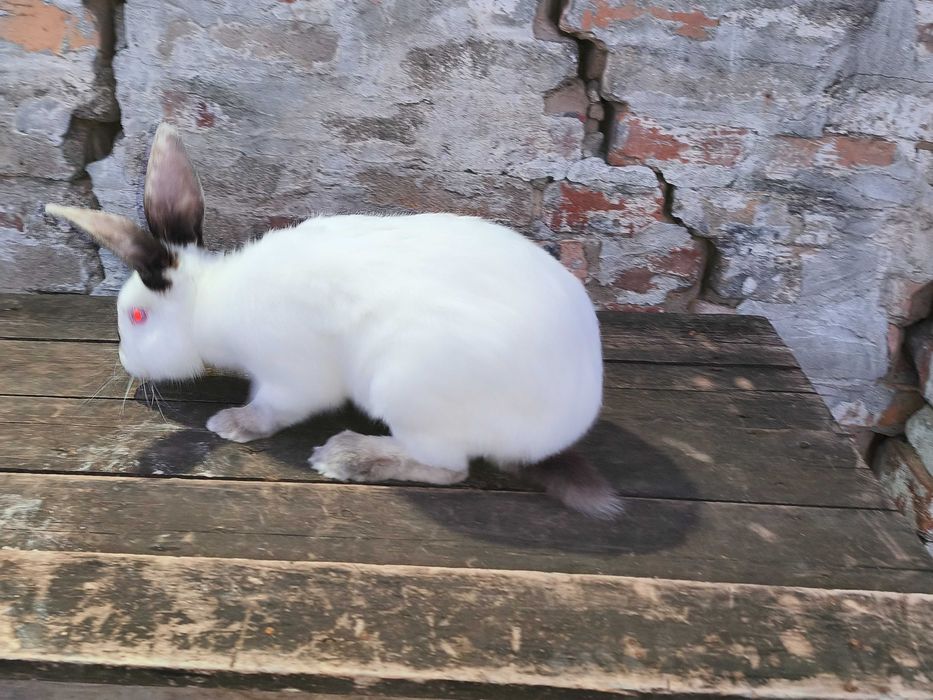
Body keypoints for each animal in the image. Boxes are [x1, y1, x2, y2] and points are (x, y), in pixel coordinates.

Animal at [45, 123, 620, 518]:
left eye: (139, 315)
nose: (125, 361)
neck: (211, 300)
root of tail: (557, 430)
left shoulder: (291, 376)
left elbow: (275, 407)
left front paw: (232, 424)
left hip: (407, 390)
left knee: (446, 468)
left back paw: (345, 456)